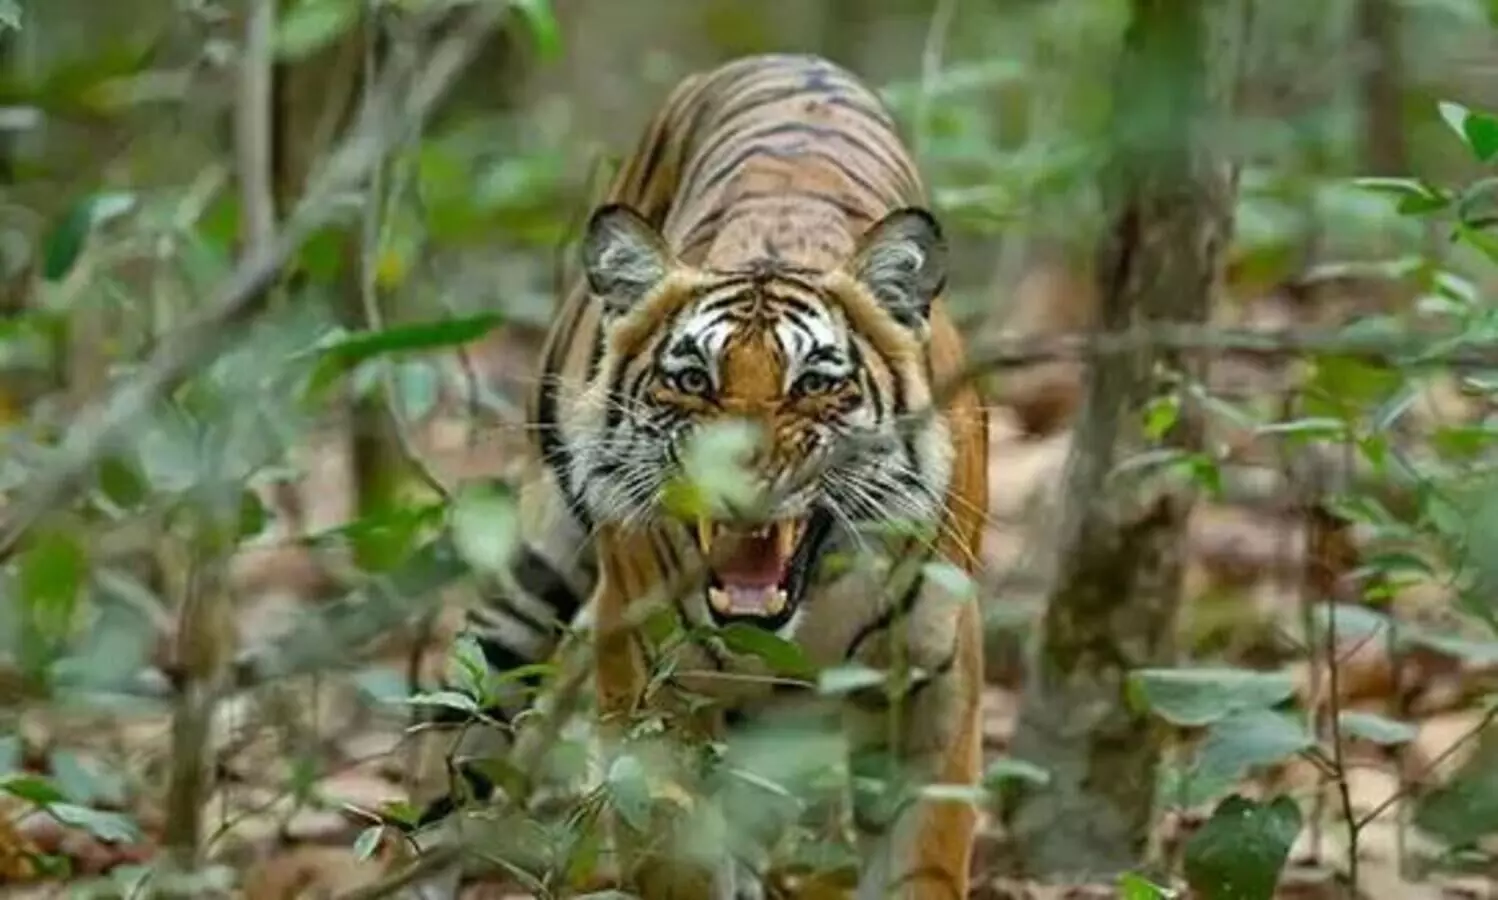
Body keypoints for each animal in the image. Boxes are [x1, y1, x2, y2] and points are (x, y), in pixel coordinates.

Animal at [414, 52, 991, 900]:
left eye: (814, 383)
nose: (742, 473)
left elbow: (922, 858)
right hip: (535, 570)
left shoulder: (933, 681)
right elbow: (672, 849)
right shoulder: (651, 674)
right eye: (690, 379)